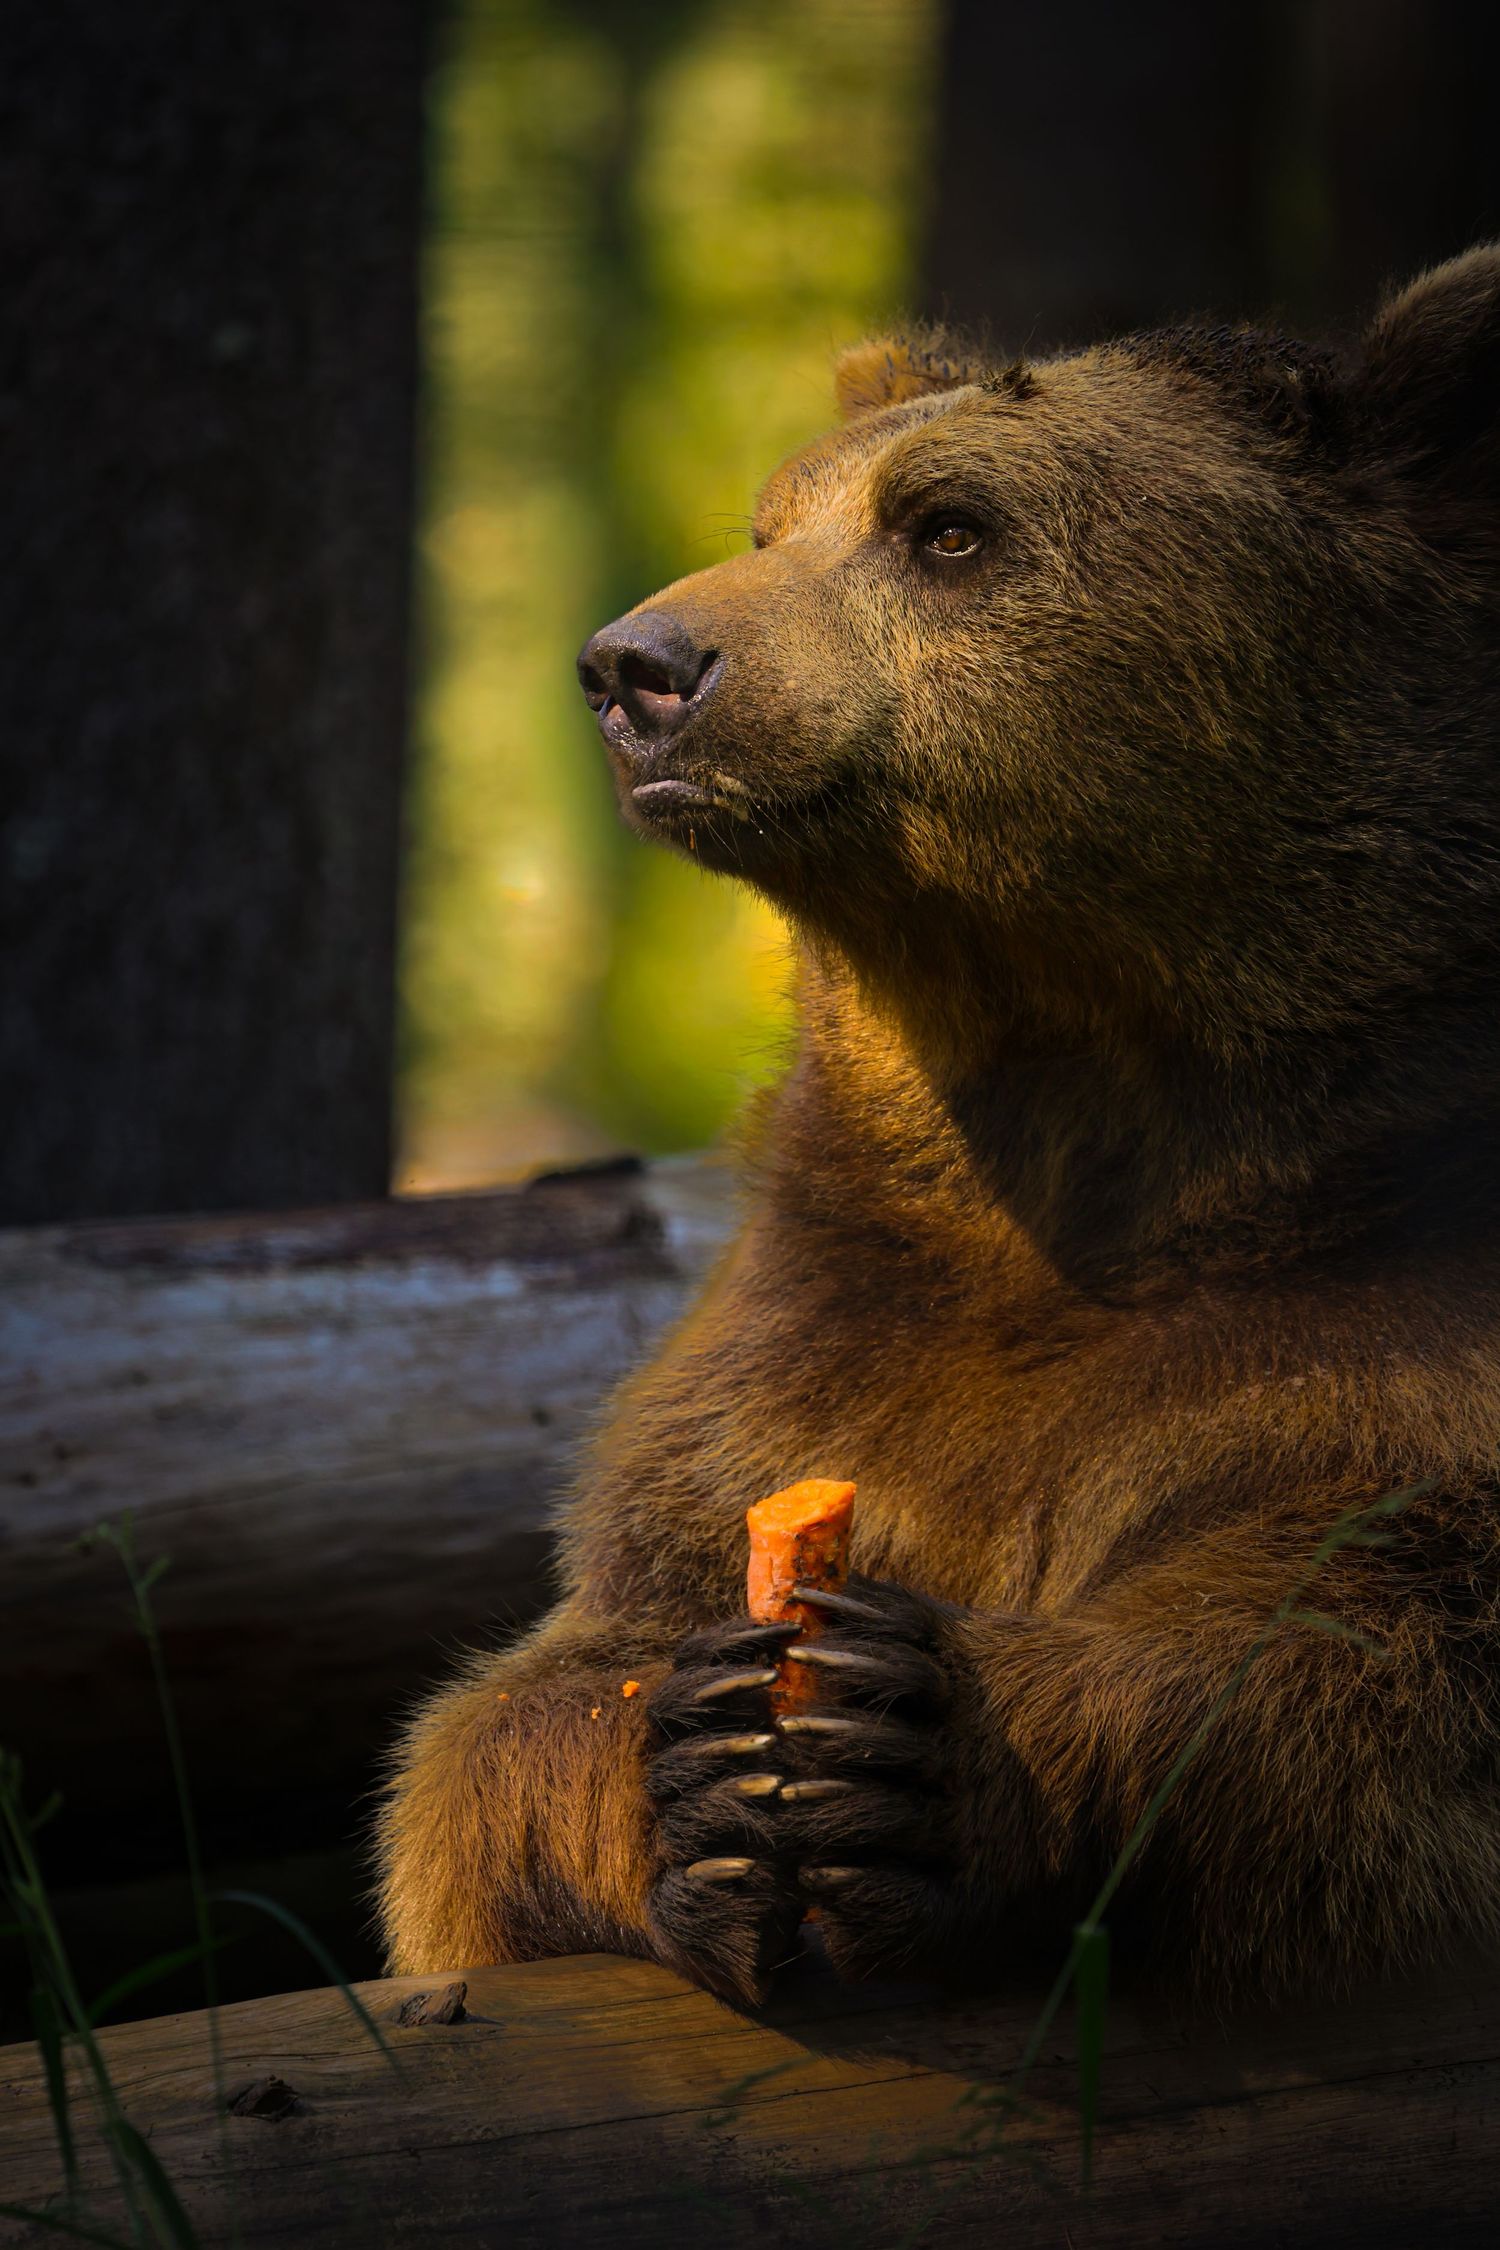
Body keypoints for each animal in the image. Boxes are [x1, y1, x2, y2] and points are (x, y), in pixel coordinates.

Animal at [377, 248, 1500, 2009]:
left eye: (950, 525)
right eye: (773, 518)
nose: (637, 667)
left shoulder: (1386, 1346)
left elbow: (1353, 1670)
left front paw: (910, 1748)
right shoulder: (790, 1360)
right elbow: (492, 1738)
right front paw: (700, 1758)